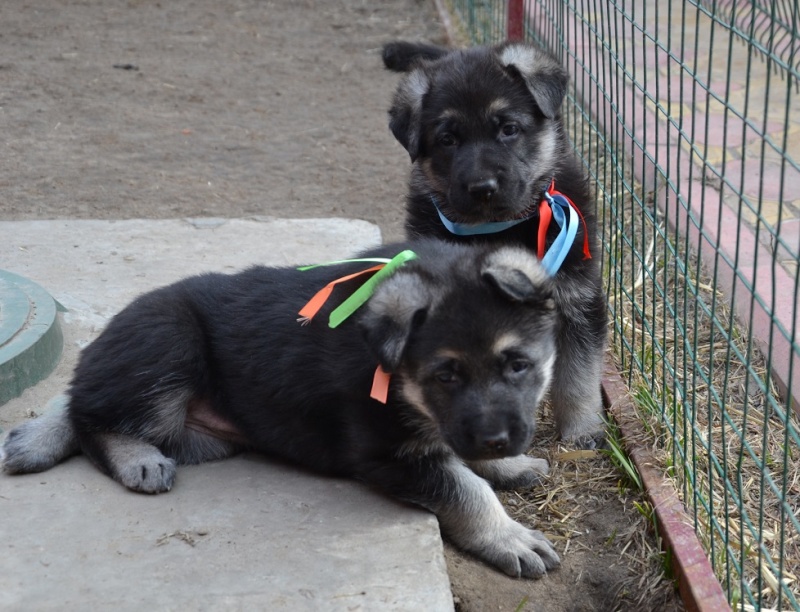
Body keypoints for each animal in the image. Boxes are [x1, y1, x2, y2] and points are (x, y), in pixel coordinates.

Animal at [1, 238, 564, 580]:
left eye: (518, 365)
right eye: (445, 376)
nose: (496, 441)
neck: (395, 371)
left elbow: (465, 458)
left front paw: (508, 465)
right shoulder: (387, 454)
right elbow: (465, 488)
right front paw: (507, 535)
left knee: (83, 395)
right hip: (170, 339)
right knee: (89, 415)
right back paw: (135, 458)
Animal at [382, 40, 608, 448]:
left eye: (508, 129)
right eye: (448, 139)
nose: (482, 187)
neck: (496, 226)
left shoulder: (577, 297)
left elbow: (578, 374)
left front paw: (582, 430)